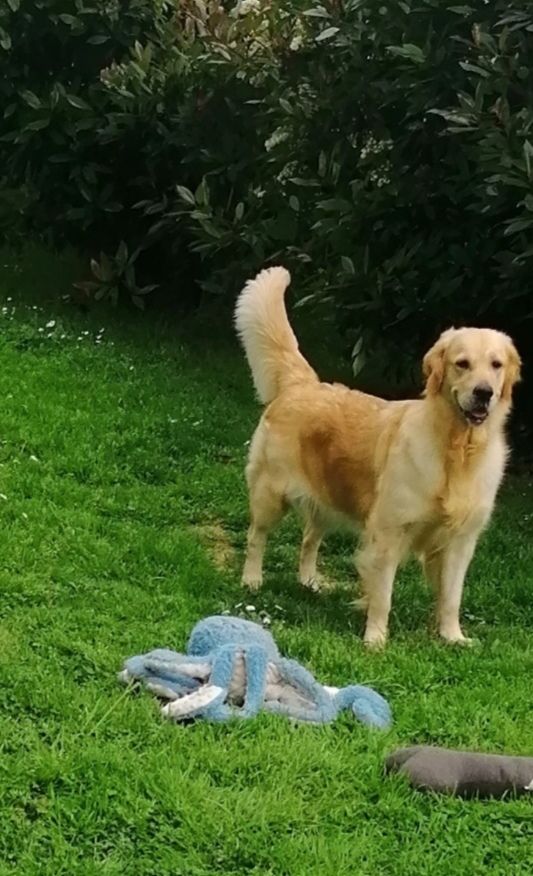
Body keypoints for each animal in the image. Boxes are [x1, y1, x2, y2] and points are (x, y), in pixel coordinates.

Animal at [234, 268, 520, 652]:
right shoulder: (389, 533)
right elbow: (383, 595)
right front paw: (376, 639)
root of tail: (303, 383)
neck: (456, 450)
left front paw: (452, 636)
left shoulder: (460, 541)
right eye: (462, 364)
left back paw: (310, 581)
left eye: (496, 365)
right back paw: (252, 580)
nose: (484, 393)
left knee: (309, 539)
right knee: (256, 536)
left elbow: (451, 597)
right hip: (270, 493)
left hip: (327, 498)